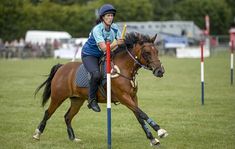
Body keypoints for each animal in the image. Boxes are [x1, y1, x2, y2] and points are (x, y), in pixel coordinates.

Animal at [33, 32, 168, 146]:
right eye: (146, 52)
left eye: (156, 51)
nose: (160, 71)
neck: (124, 69)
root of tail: (61, 67)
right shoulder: (124, 97)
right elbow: (142, 113)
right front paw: (160, 130)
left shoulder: (133, 97)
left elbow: (139, 116)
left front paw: (152, 138)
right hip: (58, 97)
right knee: (48, 112)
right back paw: (37, 134)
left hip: (77, 100)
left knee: (67, 116)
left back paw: (73, 138)